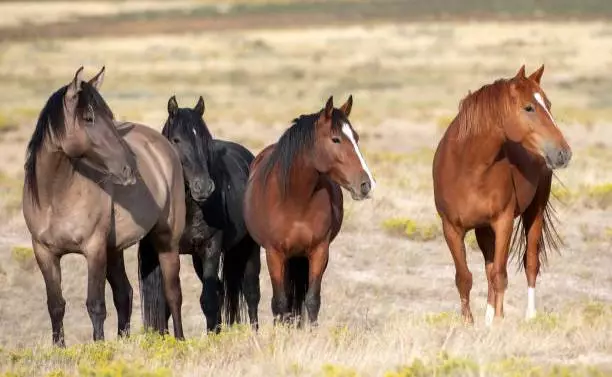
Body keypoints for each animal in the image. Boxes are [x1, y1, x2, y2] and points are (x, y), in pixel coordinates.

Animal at [22, 67, 186, 344]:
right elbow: (56, 305)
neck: (55, 197)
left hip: (166, 240)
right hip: (114, 249)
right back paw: (123, 340)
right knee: (125, 294)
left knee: (173, 292)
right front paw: (59, 348)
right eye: (88, 118)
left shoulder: (94, 248)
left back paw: (180, 340)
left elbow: (96, 304)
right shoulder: (44, 252)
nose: (129, 168)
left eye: (109, 116)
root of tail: (163, 146)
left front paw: (98, 346)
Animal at [139, 94, 260, 332]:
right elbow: (170, 300)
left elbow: (208, 299)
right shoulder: (168, 250)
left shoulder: (211, 248)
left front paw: (212, 335)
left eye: (206, 139)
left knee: (251, 292)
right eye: (176, 140)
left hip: (248, 247)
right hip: (197, 258)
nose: (203, 187)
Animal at [243, 95, 372, 324]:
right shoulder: (274, 253)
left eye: (356, 138)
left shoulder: (319, 251)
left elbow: (312, 300)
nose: (366, 185)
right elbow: (280, 303)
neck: (296, 200)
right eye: (335, 139)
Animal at [432, 65, 572, 326]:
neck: (468, 167)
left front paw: (498, 323)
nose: (563, 153)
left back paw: (529, 316)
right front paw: (469, 323)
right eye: (529, 107)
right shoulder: (452, 228)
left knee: (530, 262)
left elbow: (500, 274)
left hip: (534, 211)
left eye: (548, 104)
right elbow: (464, 277)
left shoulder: (503, 221)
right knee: (489, 268)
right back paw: (488, 318)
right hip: (483, 228)